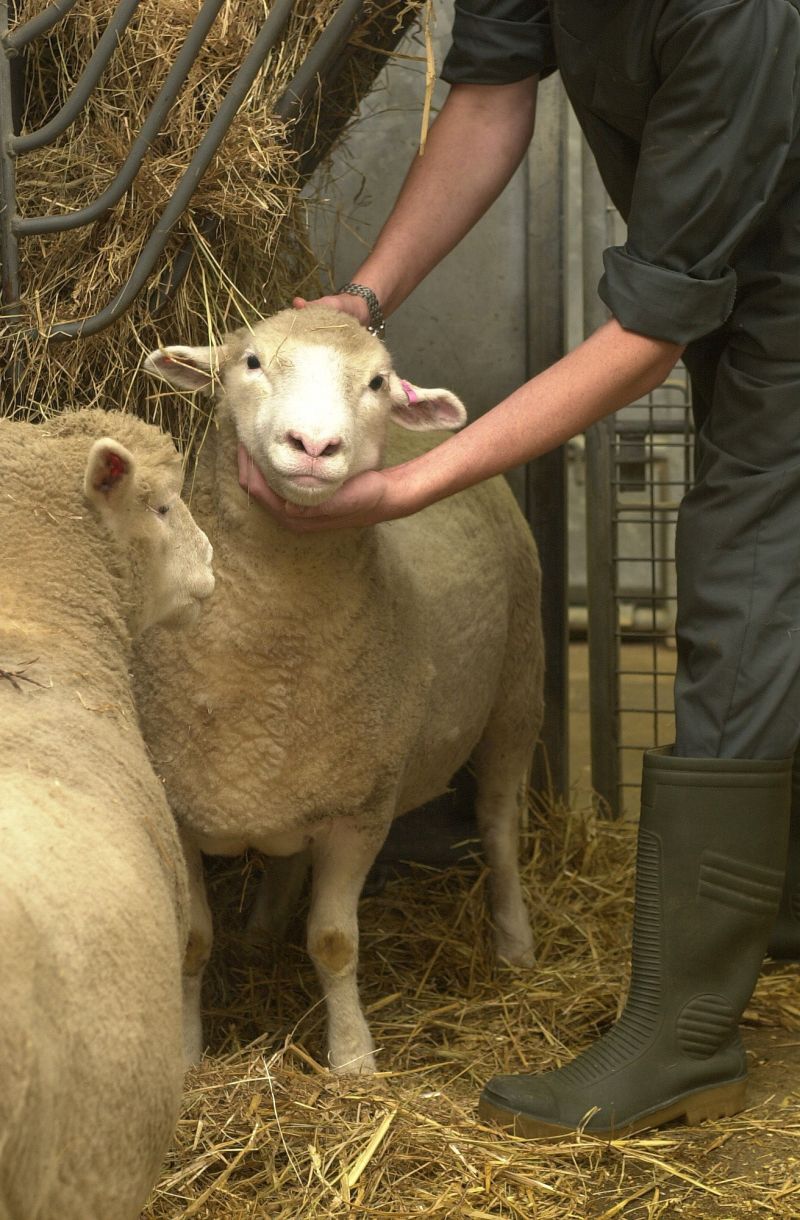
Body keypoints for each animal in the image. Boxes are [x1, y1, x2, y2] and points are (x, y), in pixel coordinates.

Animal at [137, 303, 544, 1074]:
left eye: (378, 382)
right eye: (251, 362)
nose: (316, 444)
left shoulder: (363, 808)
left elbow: (333, 942)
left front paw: (353, 1060)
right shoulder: (178, 807)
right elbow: (191, 945)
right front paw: (185, 1055)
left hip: (515, 691)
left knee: (500, 827)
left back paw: (514, 942)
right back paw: (260, 933)